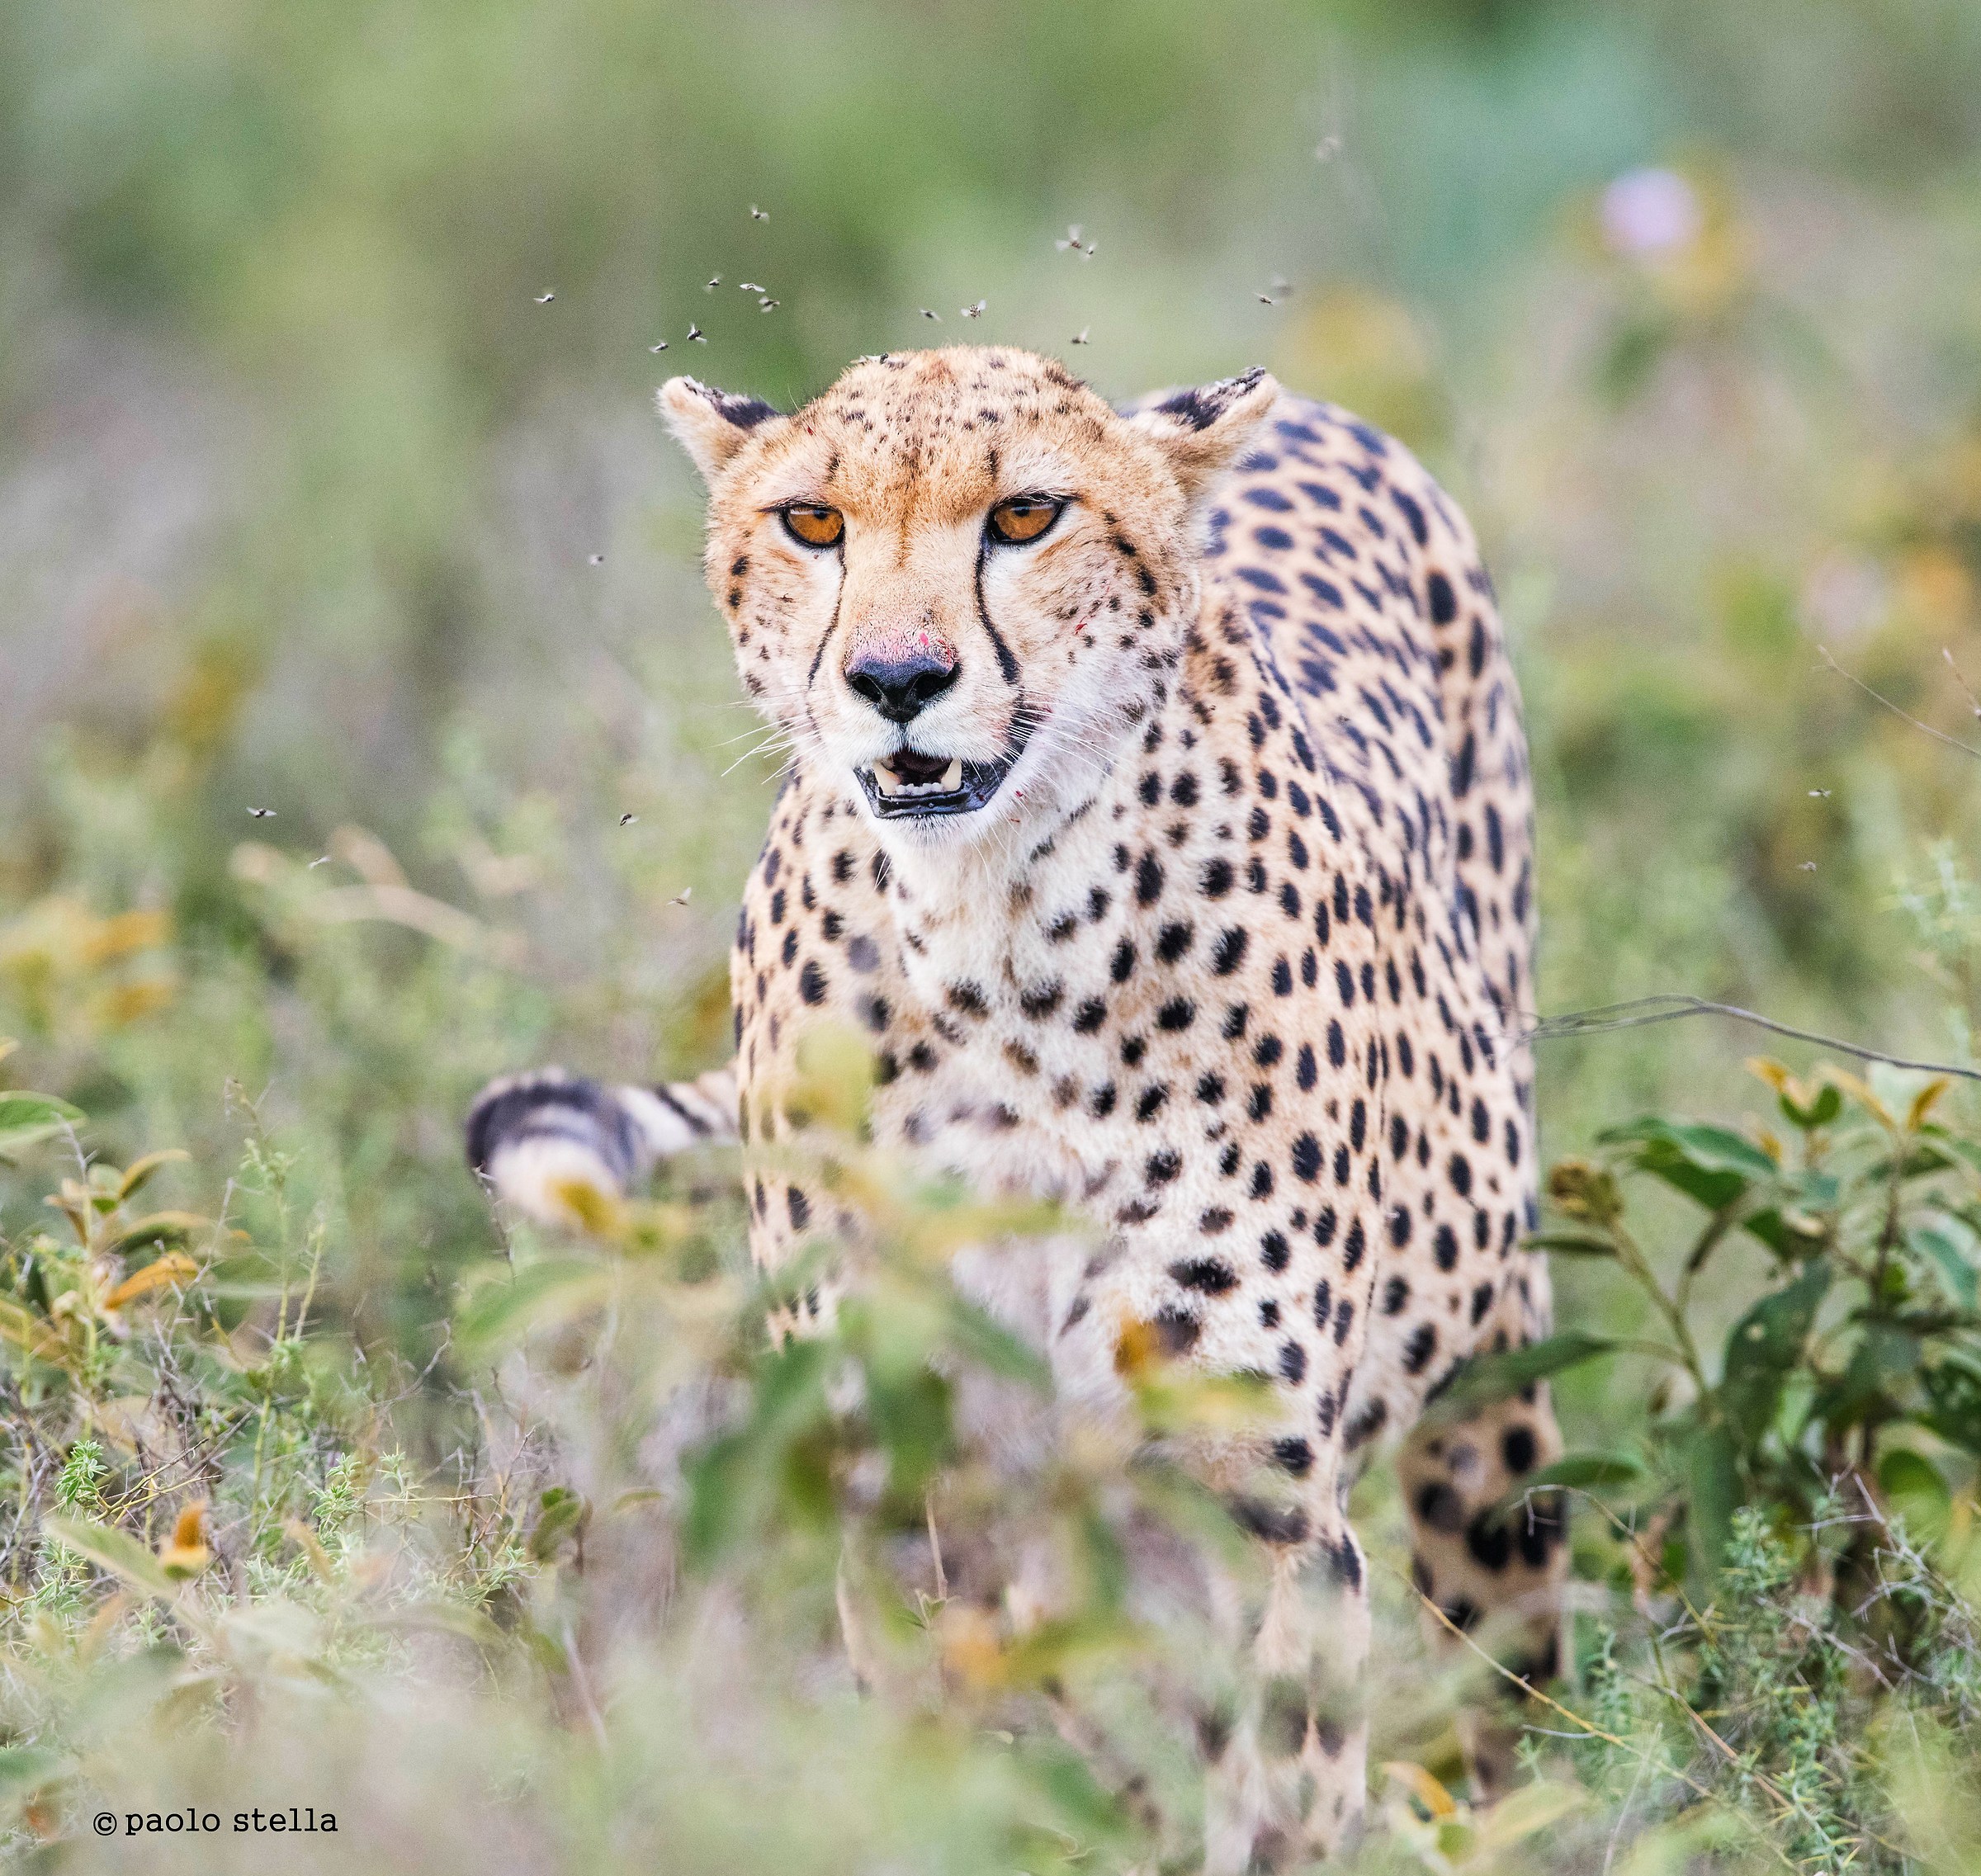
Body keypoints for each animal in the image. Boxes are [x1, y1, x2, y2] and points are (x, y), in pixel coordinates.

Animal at [466, 345, 1565, 1868]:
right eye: (815, 522)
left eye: (1028, 516)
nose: (897, 678)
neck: (998, 937)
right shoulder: (915, 1476)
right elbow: (980, 1736)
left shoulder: (1258, 1502)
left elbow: (1270, 1780)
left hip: (1492, 1396)